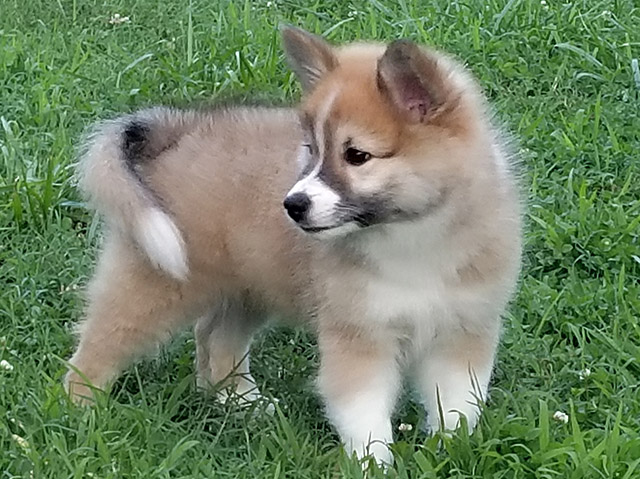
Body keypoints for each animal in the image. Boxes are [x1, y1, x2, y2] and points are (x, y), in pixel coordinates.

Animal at [65, 25, 520, 464]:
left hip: (248, 288)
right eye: (312, 149)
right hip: (155, 280)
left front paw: (455, 452)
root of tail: (179, 129)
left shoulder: (463, 332)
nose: (292, 205)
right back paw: (81, 413)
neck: (413, 237)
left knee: (216, 338)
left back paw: (240, 402)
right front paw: (373, 463)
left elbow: (457, 407)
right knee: (99, 344)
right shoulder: (358, 336)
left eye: (356, 156)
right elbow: (365, 414)